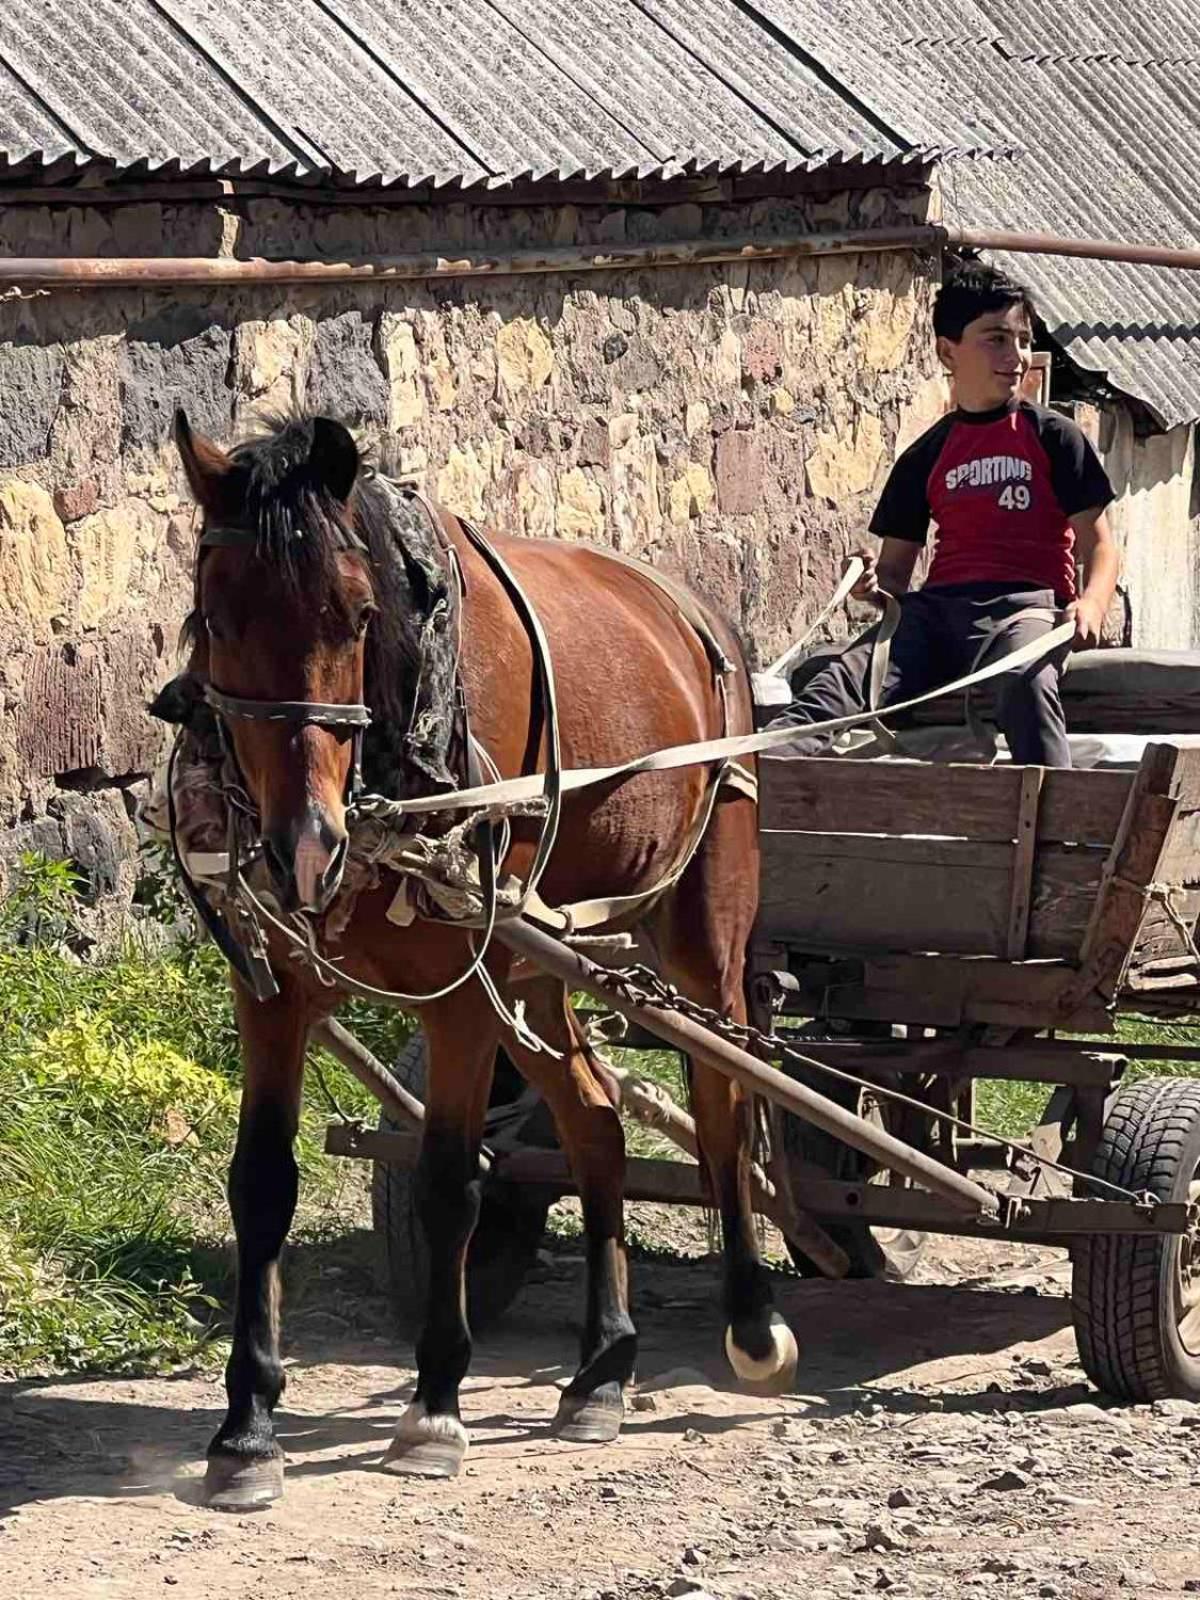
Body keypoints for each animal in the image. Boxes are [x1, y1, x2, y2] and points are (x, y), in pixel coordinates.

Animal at [164, 406, 793, 1504]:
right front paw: (247, 1426)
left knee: (724, 1105)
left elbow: (452, 1177)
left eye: (357, 615)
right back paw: (602, 1368)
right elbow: (262, 1183)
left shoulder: (461, 989)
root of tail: (695, 616)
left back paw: (751, 1320)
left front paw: (435, 1405)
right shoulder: (274, 985)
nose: (305, 845)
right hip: (541, 961)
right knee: (595, 1118)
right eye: (218, 613)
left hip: (695, 930)